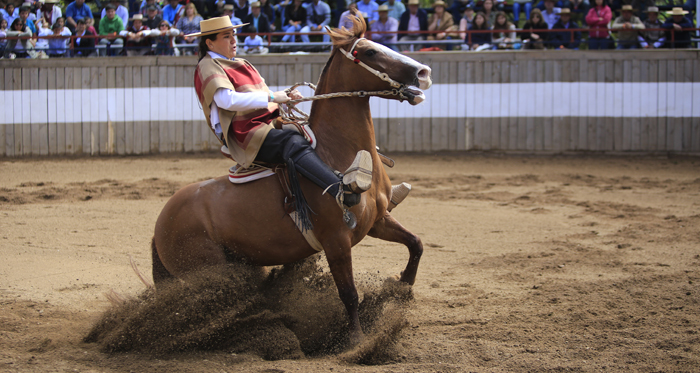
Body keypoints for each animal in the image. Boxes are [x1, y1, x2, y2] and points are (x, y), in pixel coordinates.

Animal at [150, 17, 430, 342]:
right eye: (370, 52)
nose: (424, 73)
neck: (336, 151)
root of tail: (160, 225)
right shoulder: (336, 241)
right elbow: (348, 293)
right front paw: (357, 341)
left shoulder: (377, 221)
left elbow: (416, 243)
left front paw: (404, 284)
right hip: (210, 272)